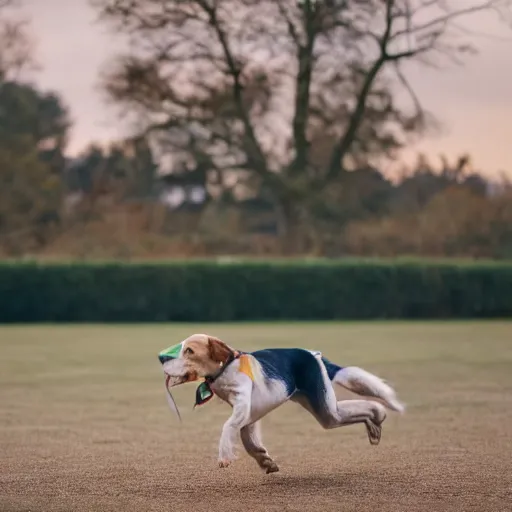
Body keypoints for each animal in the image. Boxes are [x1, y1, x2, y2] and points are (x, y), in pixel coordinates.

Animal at [158, 334, 406, 474]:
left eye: (189, 350)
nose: (161, 358)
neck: (225, 368)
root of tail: (314, 355)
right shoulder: (249, 414)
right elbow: (249, 441)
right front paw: (265, 462)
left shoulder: (242, 404)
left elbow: (228, 427)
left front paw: (225, 456)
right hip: (321, 408)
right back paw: (374, 430)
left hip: (327, 410)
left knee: (371, 408)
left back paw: (378, 419)